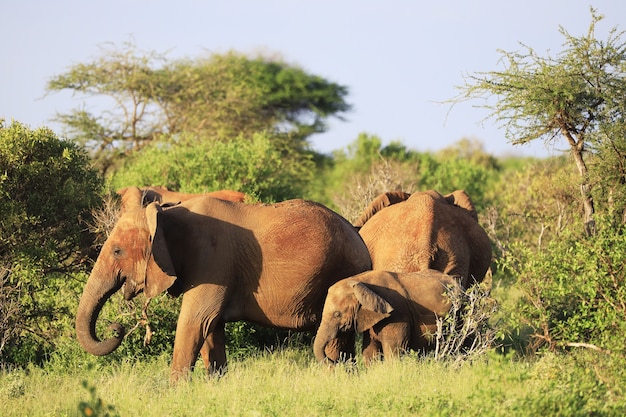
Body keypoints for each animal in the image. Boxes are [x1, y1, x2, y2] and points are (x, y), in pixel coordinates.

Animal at [77, 187, 370, 382]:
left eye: (117, 252)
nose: (116, 328)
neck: (166, 216)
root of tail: (359, 236)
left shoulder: (212, 260)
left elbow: (195, 321)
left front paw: (174, 392)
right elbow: (210, 327)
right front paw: (214, 385)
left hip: (342, 270)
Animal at [312, 268, 458, 362]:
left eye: (337, 314)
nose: (335, 362)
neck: (359, 280)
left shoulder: (397, 315)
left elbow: (394, 351)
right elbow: (369, 352)